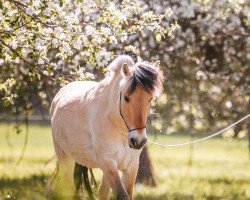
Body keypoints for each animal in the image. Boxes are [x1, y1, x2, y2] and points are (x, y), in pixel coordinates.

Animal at [50, 54, 164, 199]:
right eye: (126, 98)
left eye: (150, 98)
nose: (138, 141)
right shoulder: (108, 162)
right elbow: (122, 195)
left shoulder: (131, 166)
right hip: (65, 157)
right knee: (67, 188)